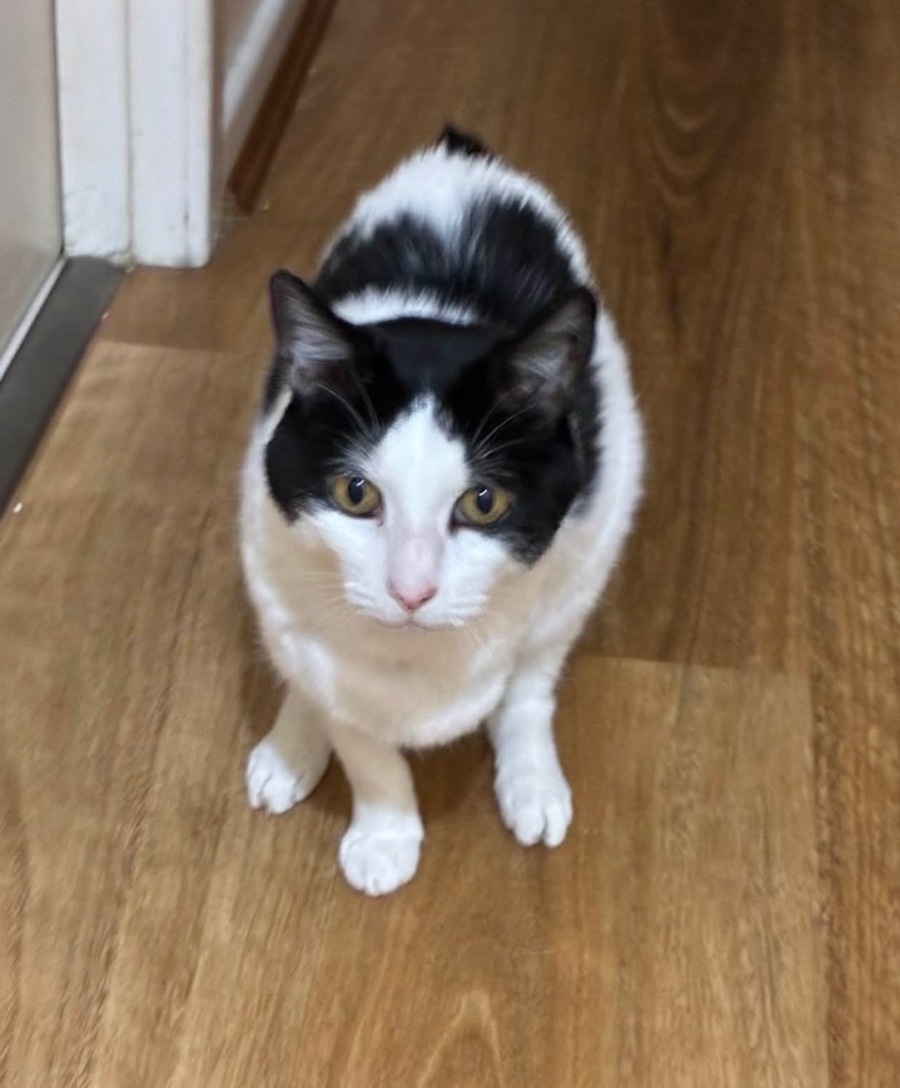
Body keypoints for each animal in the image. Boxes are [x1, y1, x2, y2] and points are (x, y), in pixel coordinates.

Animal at [240, 125, 644, 896]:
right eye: (356, 494)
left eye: (483, 501)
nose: (411, 591)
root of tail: (460, 153)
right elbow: (357, 732)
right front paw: (385, 833)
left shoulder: (578, 551)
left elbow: (526, 686)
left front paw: (526, 777)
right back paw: (290, 746)